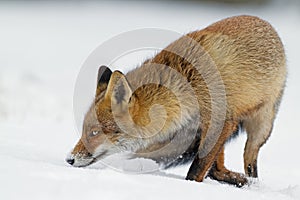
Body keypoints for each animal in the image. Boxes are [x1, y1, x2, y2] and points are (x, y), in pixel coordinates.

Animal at [67, 15, 288, 188]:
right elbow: (206, 165)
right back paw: (237, 179)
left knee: (249, 161)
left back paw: (252, 182)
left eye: (94, 132)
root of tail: (265, 23)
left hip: (261, 126)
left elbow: (196, 169)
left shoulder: (221, 120)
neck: (187, 89)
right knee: (217, 169)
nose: (69, 159)